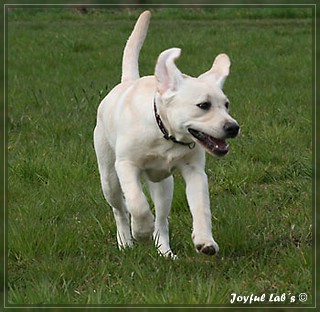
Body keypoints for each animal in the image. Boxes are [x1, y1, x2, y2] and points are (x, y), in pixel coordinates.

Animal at [94, 10, 239, 258]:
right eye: (203, 105)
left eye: (226, 105)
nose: (233, 127)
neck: (164, 134)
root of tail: (128, 81)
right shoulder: (126, 165)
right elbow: (137, 203)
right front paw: (141, 231)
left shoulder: (195, 171)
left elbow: (201, 207)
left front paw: (205, 241)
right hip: (109, 177)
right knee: (120, 210)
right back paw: (125, 241)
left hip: (164, 184)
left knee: (162, 220)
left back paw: (164, 251)